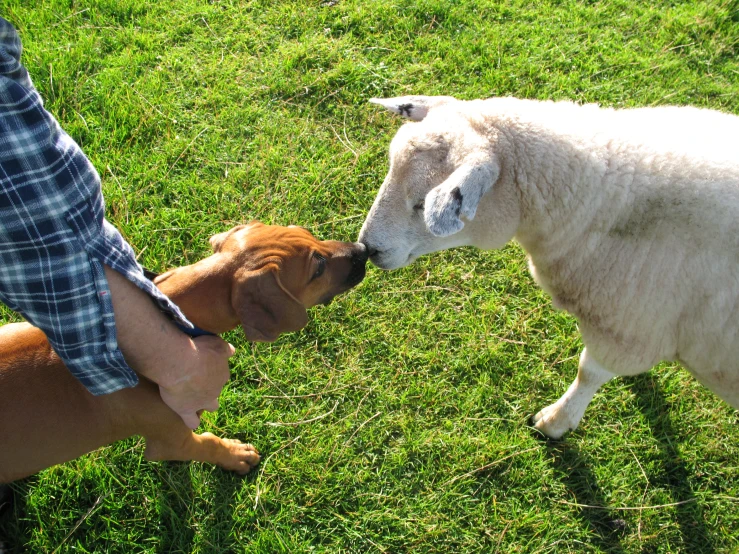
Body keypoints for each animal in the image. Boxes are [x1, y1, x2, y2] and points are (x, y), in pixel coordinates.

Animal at [0, 220, 368, 478]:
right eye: (318, 269)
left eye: (306, 232)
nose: (363, 250)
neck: (173, 312)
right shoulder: (170, 439)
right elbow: (208, 443)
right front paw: (236, 456)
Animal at [358, 97, 739, 438]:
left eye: (422, 204)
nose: (367, 248)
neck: (601, 203)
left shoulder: (628, 330)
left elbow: (589, 373)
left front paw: (556, 421)